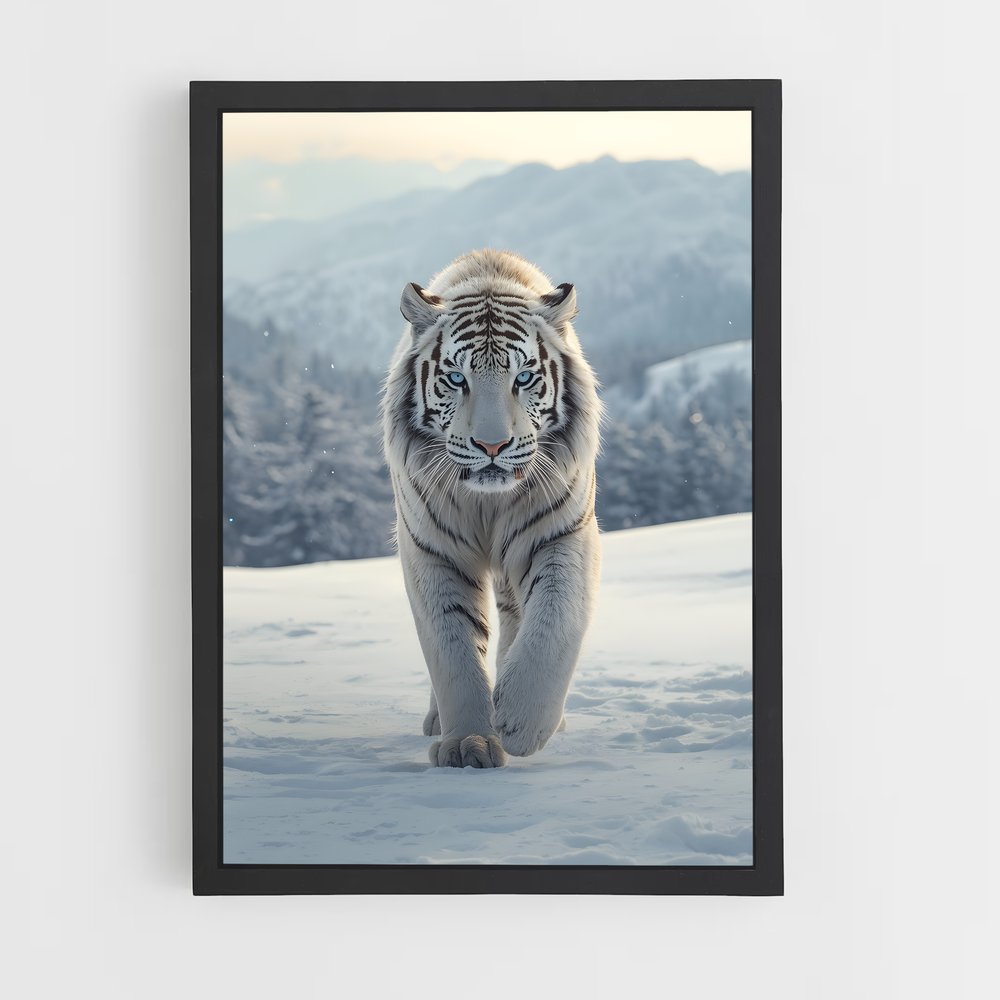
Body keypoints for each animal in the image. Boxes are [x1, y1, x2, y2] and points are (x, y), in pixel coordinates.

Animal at [381, 249, 602, 768]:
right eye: (455, 378)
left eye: (523, 377)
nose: (492, 445)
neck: (489, 504)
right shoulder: (432, 551)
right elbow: (452, 649)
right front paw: (468, 744)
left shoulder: (562, 535)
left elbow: (554, 622)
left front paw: (520, 724)